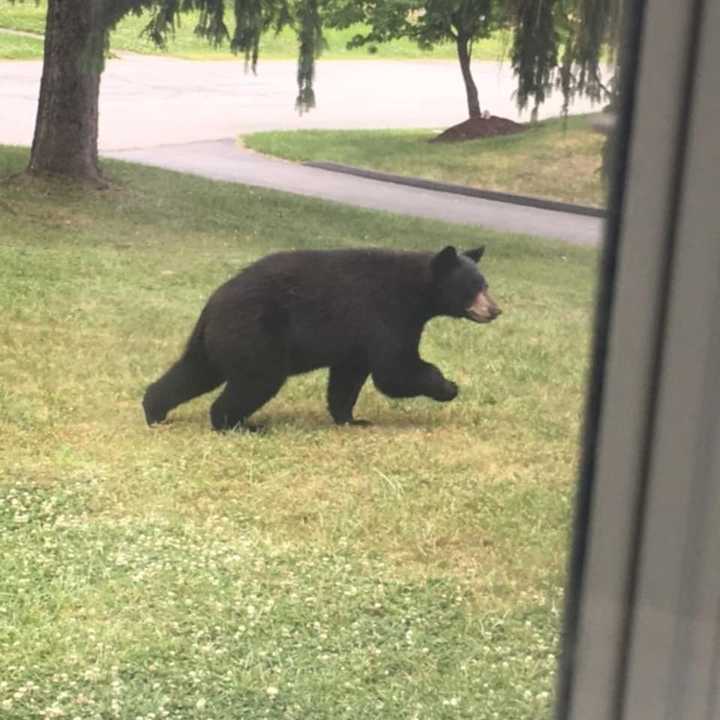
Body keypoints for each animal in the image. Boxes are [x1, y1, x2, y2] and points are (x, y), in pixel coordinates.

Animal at [141, 245, 500, 430]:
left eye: (486, 284)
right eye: (474, 287)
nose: (495, 310)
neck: (417, 292)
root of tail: (212, 304)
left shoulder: (355, 342)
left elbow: (347, 379)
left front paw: (353, 420)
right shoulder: (385, 314)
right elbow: (394, 371)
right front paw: (448, 387)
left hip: (218, 341)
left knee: (194, 372)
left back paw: (154, 410)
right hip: (257, 336)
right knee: (255, 381)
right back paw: (239, 424)